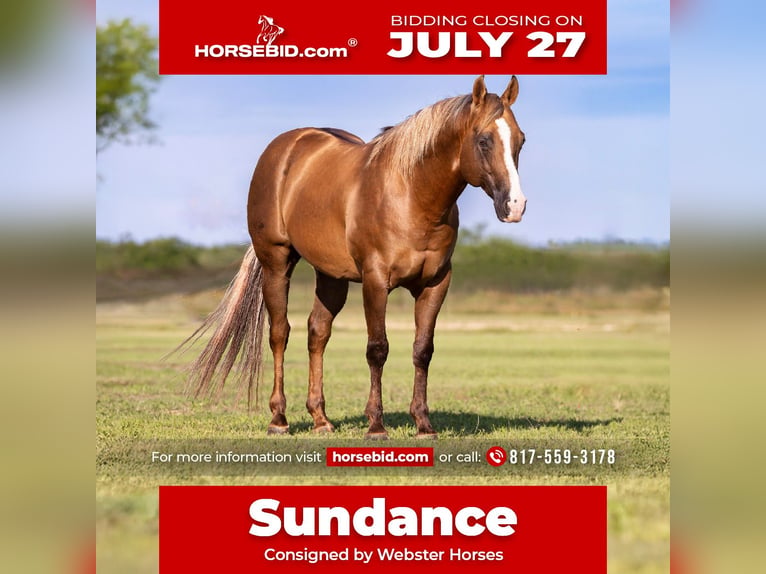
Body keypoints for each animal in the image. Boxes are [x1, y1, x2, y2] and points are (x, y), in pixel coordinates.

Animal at [181, 76, 527, 439]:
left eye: (521, 140)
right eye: (484, 140)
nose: (515, 206)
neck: (411, 195)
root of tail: (286, 147)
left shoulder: (435, 283)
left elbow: (422, 350)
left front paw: (423, 424)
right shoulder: (375, 281)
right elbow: (377, 349)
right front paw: (376, 425)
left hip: (331, 276)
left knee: (317, 332)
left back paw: (320, 419)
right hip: (276, 263)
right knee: (279, 333)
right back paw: (279, 419)